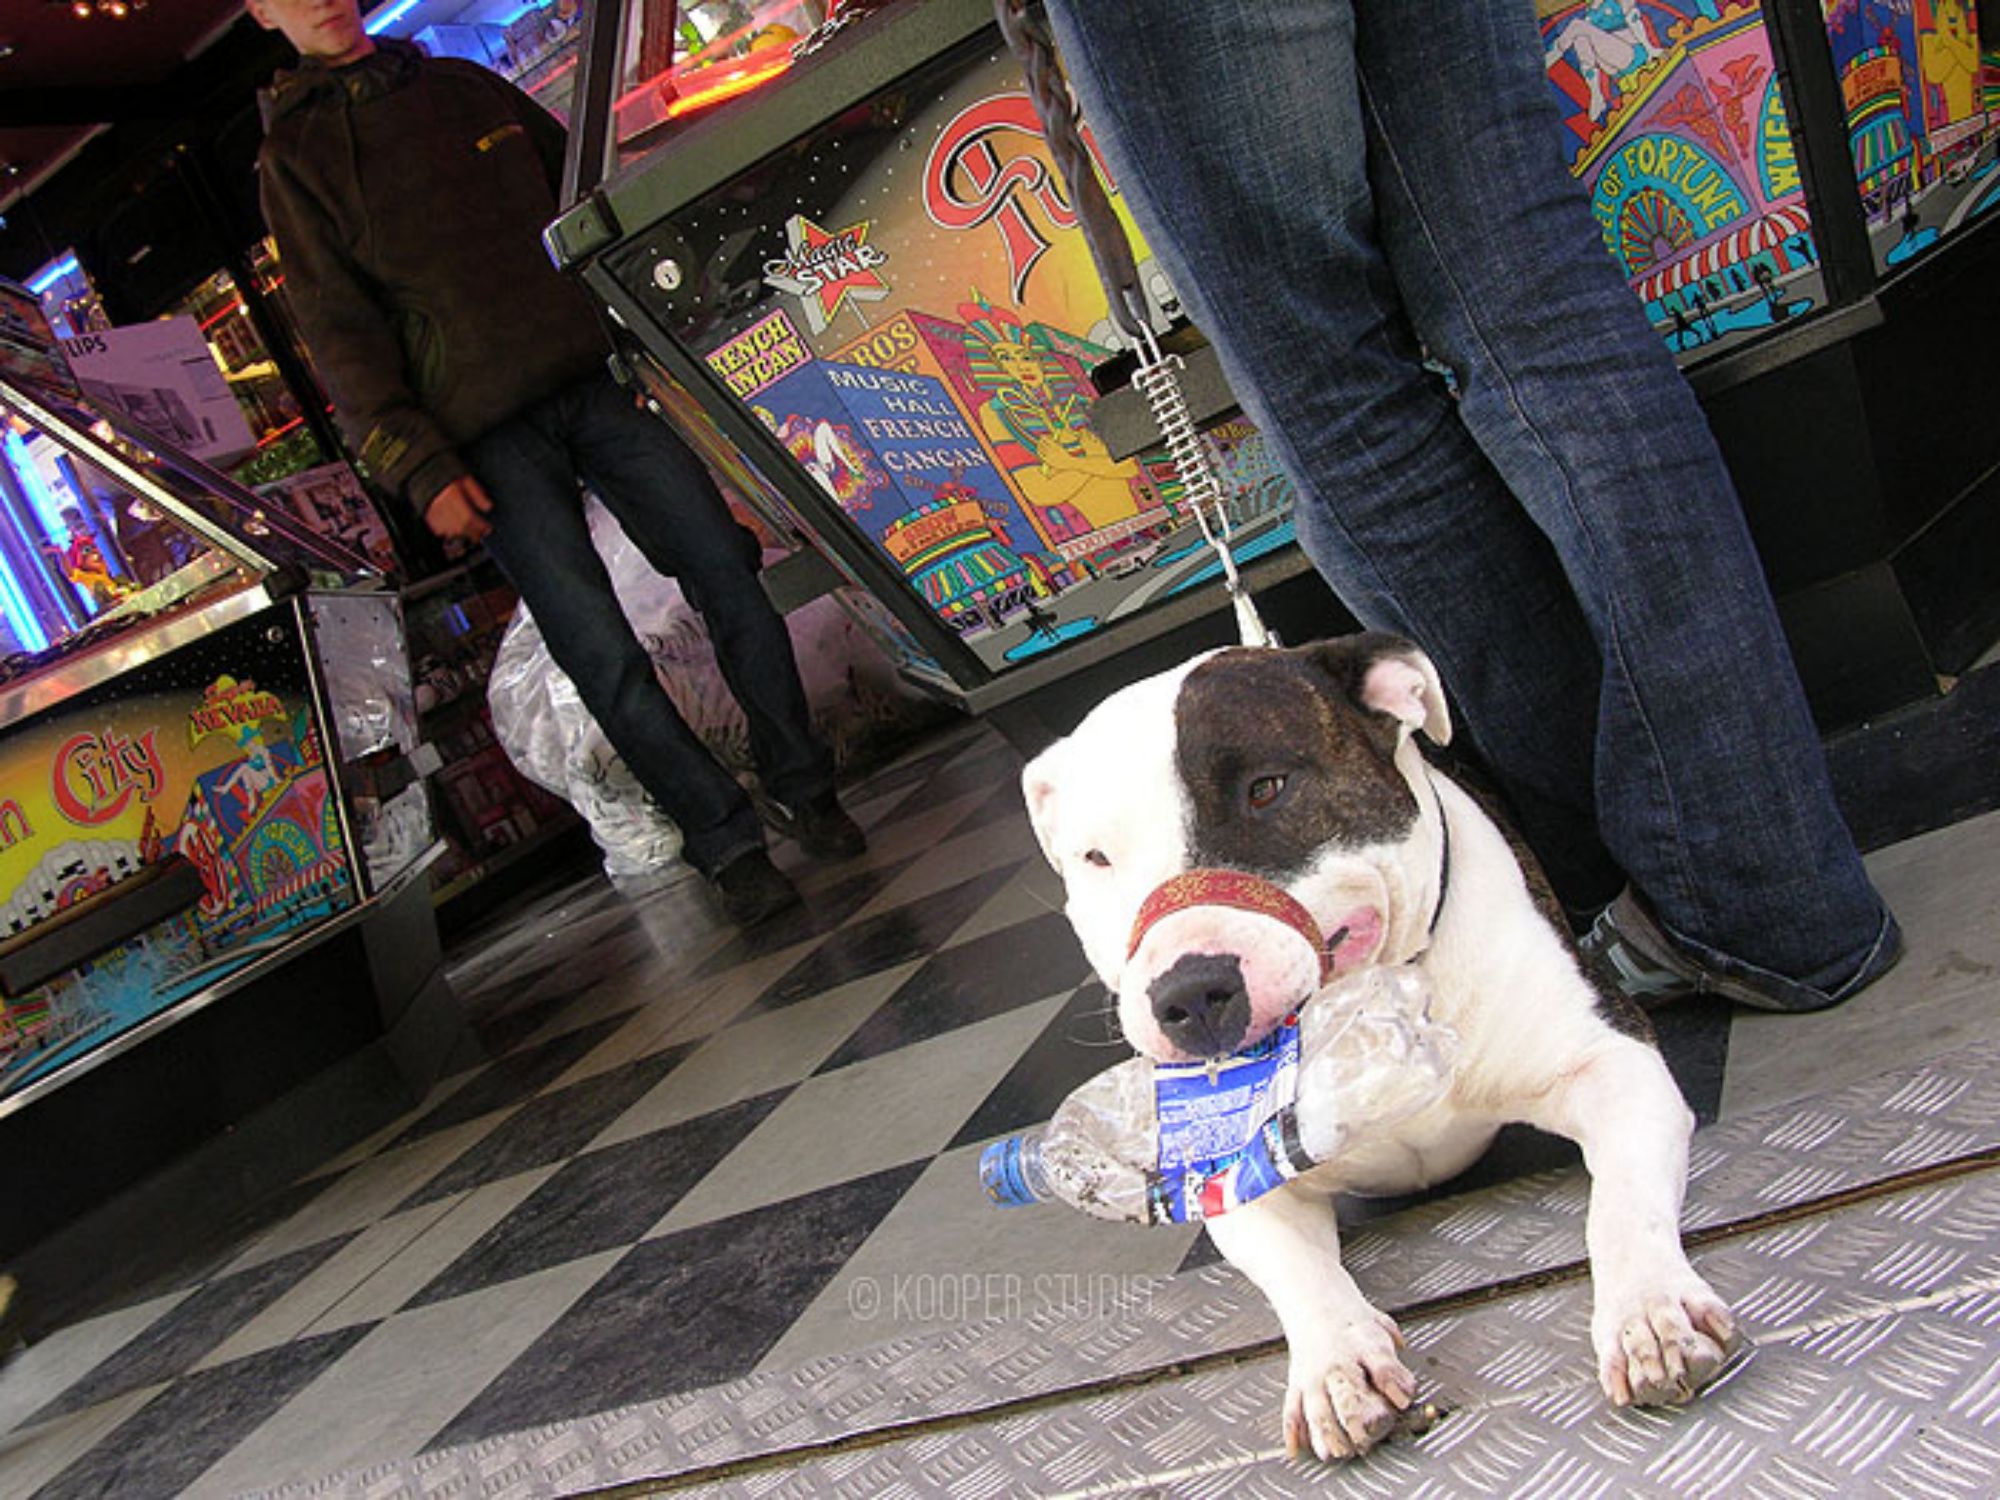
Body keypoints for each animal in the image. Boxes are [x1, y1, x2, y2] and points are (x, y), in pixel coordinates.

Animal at [1021, 634, 1739, 1461]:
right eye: (1096, 858)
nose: (1189, 993)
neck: (1369, 1021)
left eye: (1267, 789)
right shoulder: (1236, 1178)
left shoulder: (1612, 1062)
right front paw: (1337, 1367)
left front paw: (1650, 1312)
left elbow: (1620, 1206)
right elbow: (1299, 1274)